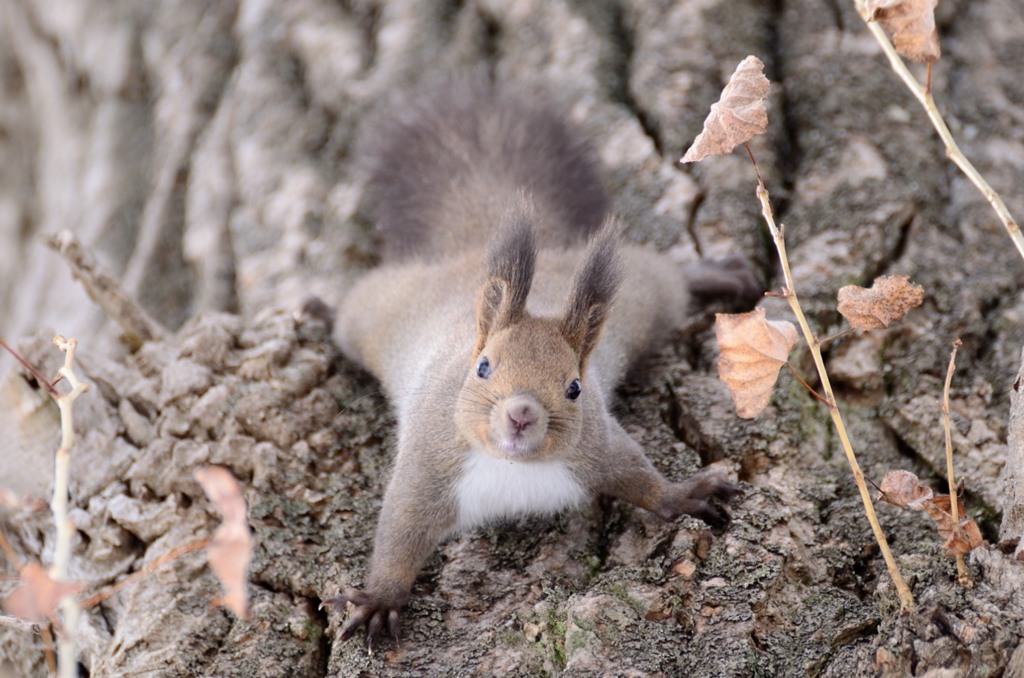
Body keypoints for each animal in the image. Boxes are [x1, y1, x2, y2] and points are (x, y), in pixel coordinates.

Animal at [323, 76, 765, 651]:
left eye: (574, 387)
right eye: (483, 367)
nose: (521, 414)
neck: (514, 468)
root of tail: (470, 256)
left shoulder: (596, 446)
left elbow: (642, 481)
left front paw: (686, 494)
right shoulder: (429, 462)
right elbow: (401, 532)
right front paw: (380, 598)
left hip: (641, 300)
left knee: (665, 277)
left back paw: (714, 275)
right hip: (375, 312)